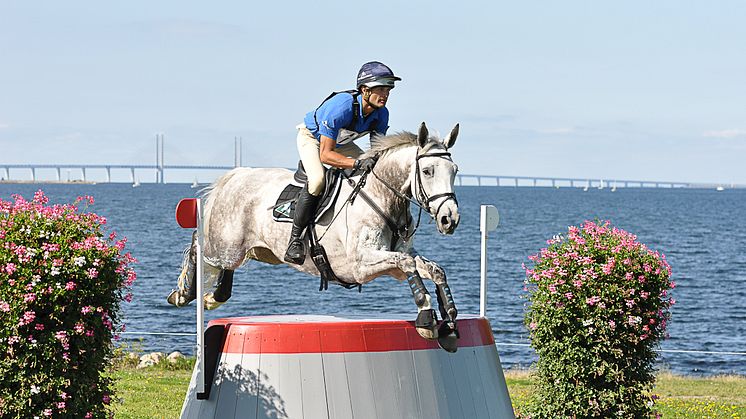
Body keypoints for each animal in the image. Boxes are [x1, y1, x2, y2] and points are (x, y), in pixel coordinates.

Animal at [166, 122, 462, 352]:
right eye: (428, 171)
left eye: (456, 171)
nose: (450, 219)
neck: (382, 197)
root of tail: (237, 174)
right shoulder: (361, 265)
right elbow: (407, 264)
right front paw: (426, 317)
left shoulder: (395, 257)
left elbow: (434, 269)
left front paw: (449, 321)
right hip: (226, 246)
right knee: (199, 245)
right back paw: (182, 294)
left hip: (257, 252)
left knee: (224, 272)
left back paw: (212, 297)